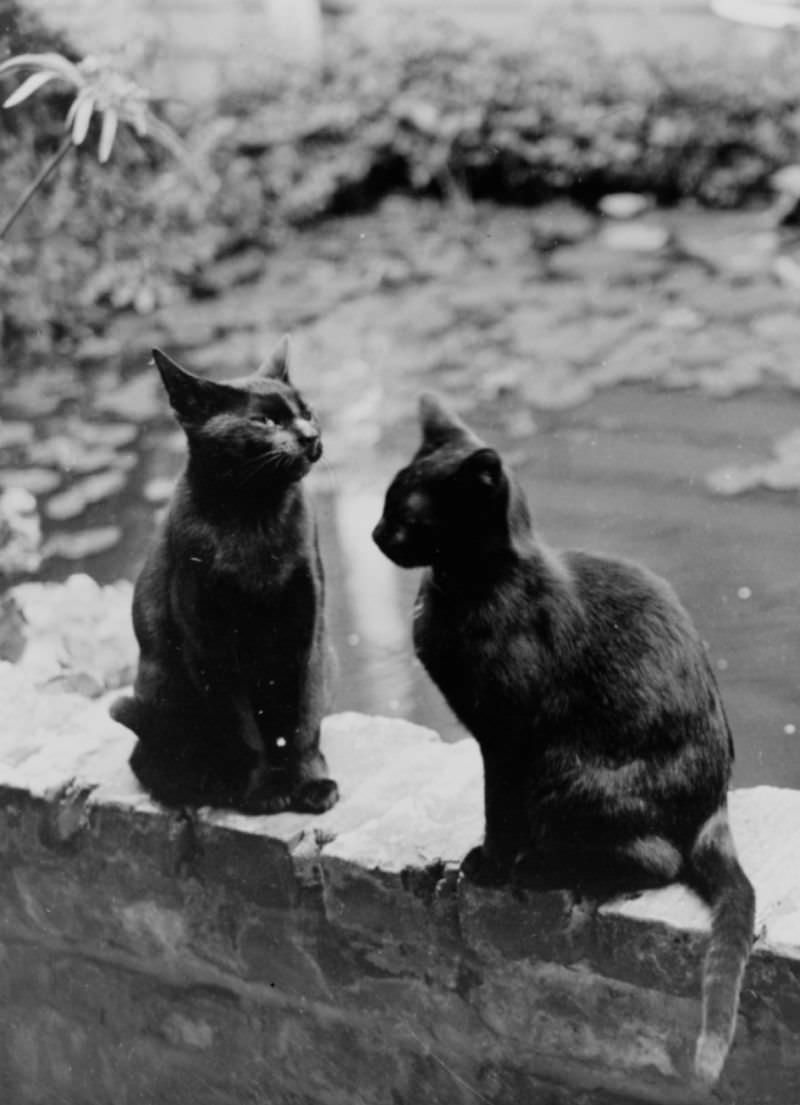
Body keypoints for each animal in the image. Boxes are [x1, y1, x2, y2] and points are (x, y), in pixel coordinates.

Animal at [111, 338, 338, 822]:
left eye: (307, 411)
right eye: (265, 421)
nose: (311, 436)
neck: (255, 517)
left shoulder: (306, 628)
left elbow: (300, 722)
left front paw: (310, 785)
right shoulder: (209, 643)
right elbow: (245, 729)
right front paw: (265, 792)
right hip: (162, 686)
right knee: (148, 762)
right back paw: (206, 788)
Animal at [373, 391, 755, 1087]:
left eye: (409, 516)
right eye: (387, 501)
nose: (375, 534)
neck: (463, 589)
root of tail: (714, 809)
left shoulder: (505, 737)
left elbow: (499, 806)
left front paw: (491, 863)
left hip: (566, 772)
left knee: (657, 859)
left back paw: (547, 867)